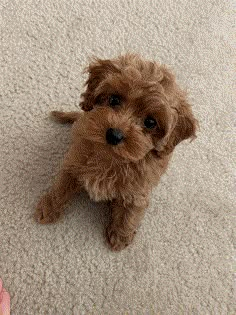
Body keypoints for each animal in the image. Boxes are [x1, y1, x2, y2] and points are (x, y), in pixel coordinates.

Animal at [35, 53, 197, 252]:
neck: (110, 158)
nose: (114, 135)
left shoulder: (139, 190)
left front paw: (121, 235)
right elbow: (61, 186)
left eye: (150, 122)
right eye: (113, 100)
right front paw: (48, 208)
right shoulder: (73, 163)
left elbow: (131, 211)